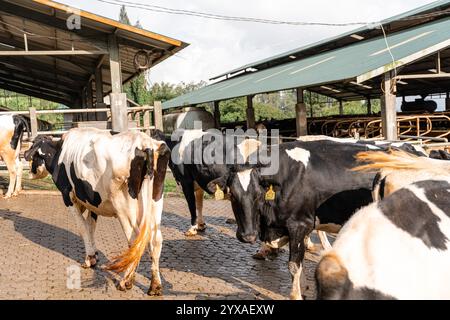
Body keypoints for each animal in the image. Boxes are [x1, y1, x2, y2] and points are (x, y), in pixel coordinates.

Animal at [24, 128, 171, 296]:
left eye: (33, 152)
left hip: (123, 207)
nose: (30, 172)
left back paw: (126, 282)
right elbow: (91, 227)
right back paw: (155, 286)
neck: (60, 152)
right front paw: (93, 257)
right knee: (155, 240)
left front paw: (89, 259)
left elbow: (83, 228)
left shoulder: (68, 196)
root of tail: (144, 141)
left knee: (134, 240)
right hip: (156, 202)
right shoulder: (92, 202)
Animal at [207, 139, 380, 298]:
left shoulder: (299, 225)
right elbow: (300, 262)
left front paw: (295, 295)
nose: (248, 236)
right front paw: (303, 287)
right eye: (232, 195)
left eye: (258, 194)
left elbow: (294, 264)